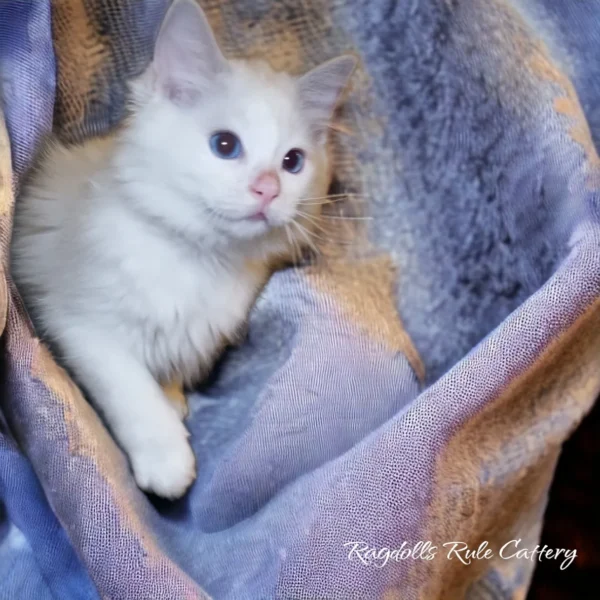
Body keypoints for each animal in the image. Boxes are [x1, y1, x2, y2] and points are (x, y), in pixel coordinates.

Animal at [9, 0, 354, 496]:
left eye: (293, 162)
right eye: (225, 145)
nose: (268, 190)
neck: (199, 256)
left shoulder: (195, 333)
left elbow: (166, 369)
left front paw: (172, 397)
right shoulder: (79, 322)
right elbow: (131, 389)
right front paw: (167, 459)